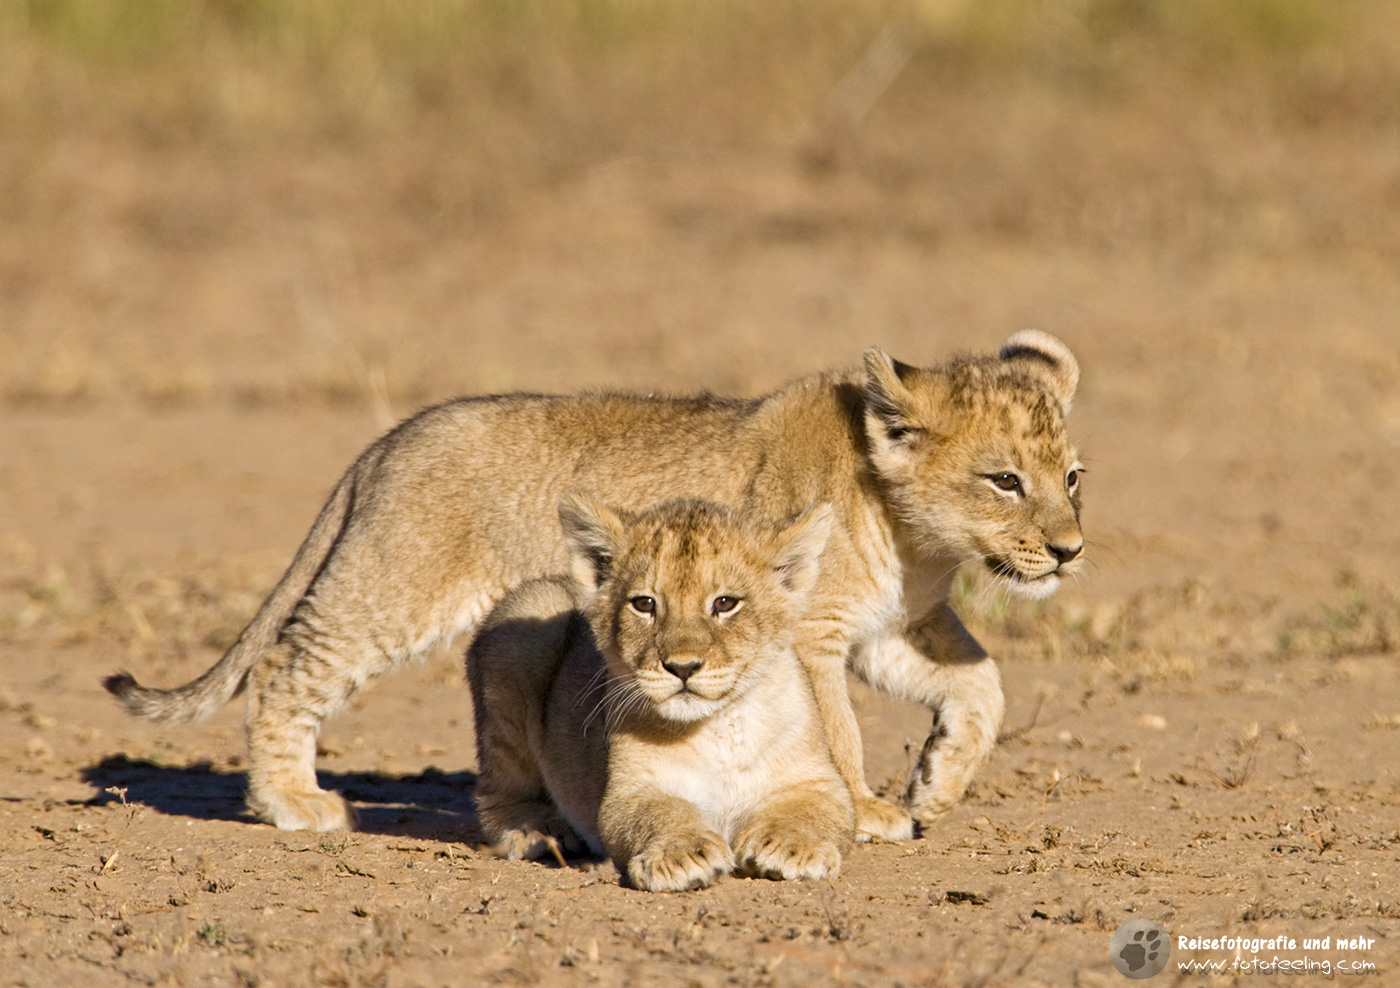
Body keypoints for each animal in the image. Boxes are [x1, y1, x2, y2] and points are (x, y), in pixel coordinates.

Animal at [105, 331, 1085, 839]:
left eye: (1072, 477)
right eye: (1005, 481)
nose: (1070, 551)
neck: (912, 536)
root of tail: (385, 443)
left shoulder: (889, 628)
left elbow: (982, 684)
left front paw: (936, 785)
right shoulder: (812, 631)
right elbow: (839, 730)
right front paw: (873, 809)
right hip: (397, 587)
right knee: (284, 670)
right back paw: (293, 804)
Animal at [467, 495, 853, 891]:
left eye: (725, 603)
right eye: (645, 604)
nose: (682, 667)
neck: (718, 729)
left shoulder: (819, 782)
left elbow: (812, 811)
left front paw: (792, 847)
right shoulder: (629, 792)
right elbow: (661, 812)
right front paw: (683, 854)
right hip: (526, 626)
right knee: (495, 793)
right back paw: (538, 830)